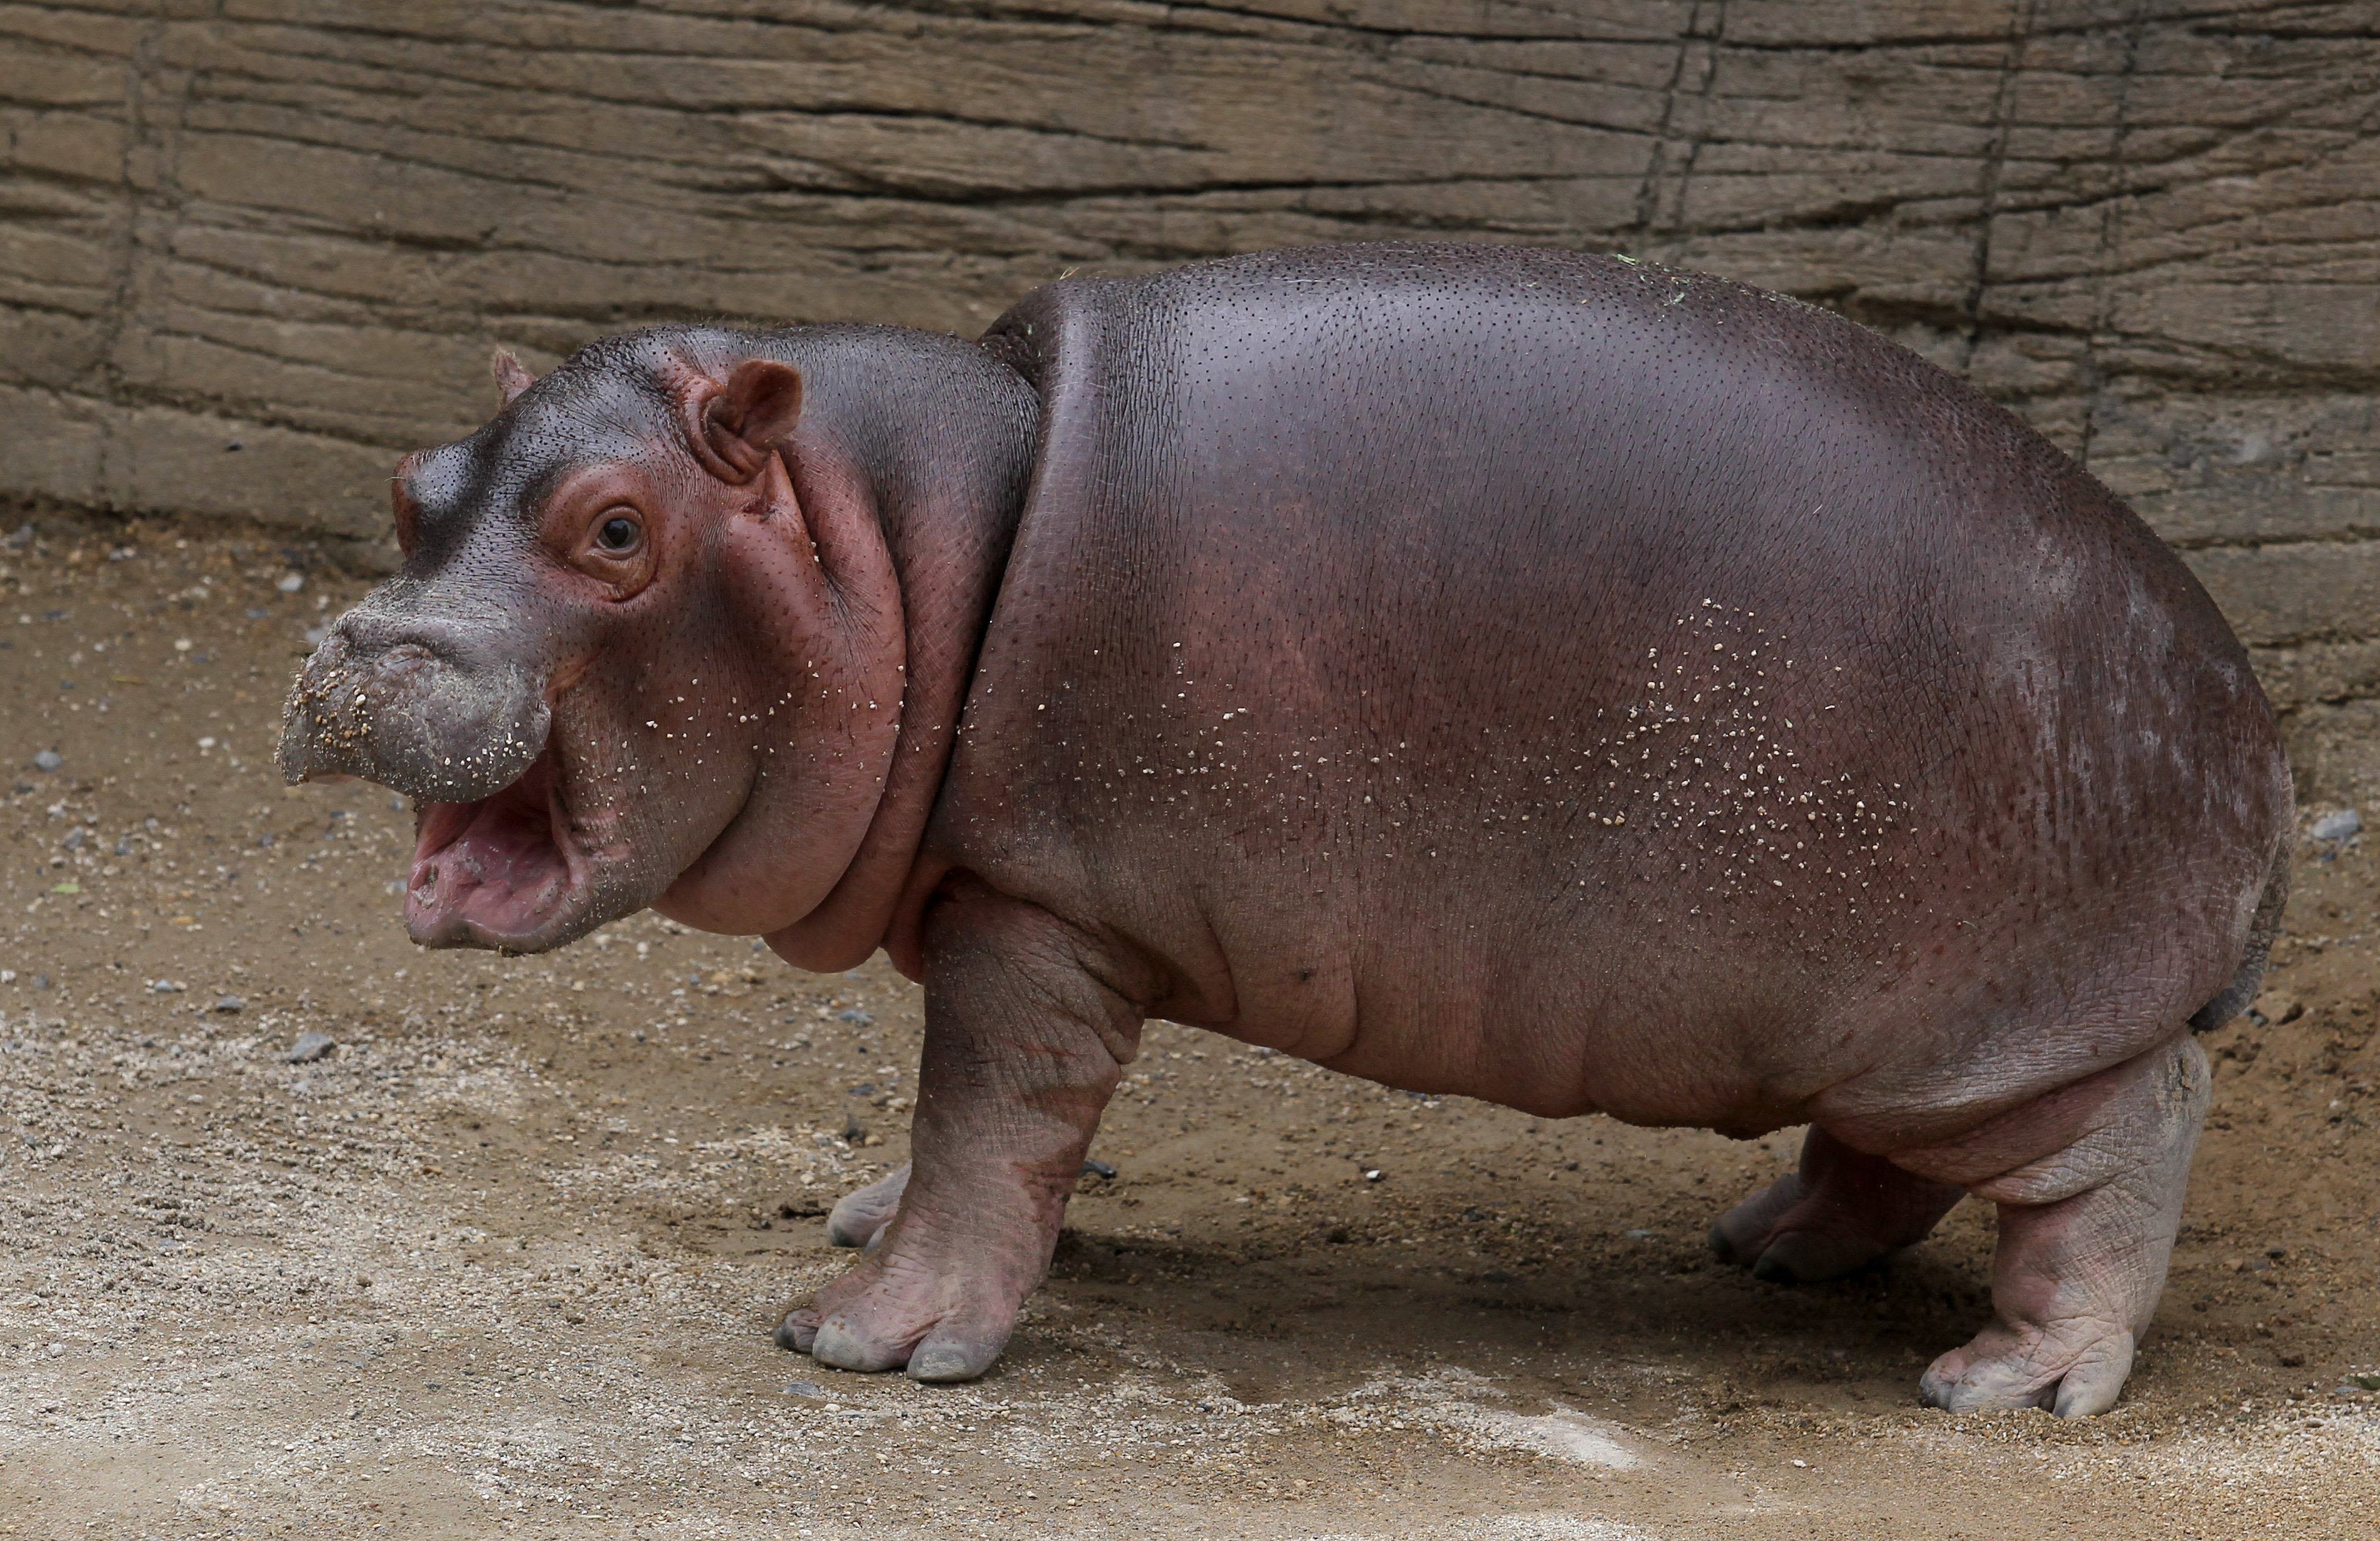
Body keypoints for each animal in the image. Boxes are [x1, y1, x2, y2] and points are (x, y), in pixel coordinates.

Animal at [278, 247, 2285, 1417]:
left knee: (2125, 1142)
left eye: (617, 529)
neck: (899, 535)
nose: (361, 651)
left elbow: (984, 1112)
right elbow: (988, 1138)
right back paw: (1768, 1245)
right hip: (1874, 1026)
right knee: (1891, 1157)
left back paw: (2007, 1381)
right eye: (411, 482)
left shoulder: (1034, 910)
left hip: (2004, 1016)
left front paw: (864, 1336)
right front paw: (865, 1223)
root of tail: (2251, 734)